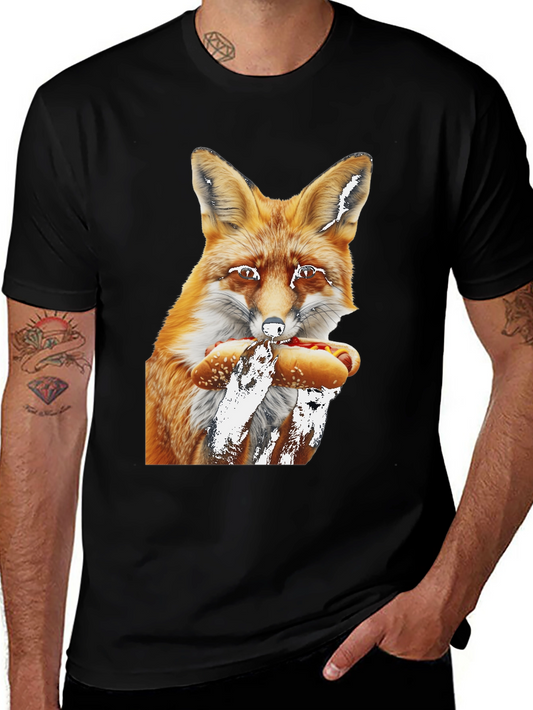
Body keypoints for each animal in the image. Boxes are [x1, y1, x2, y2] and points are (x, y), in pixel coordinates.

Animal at [145, 147, 372, 465]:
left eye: (305, 273)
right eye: (246, 273)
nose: (273, 328)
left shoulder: (272, 443)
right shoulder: (184, 443)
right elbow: (224, 433)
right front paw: (248, 376)